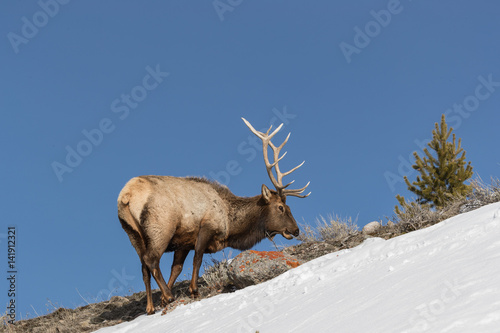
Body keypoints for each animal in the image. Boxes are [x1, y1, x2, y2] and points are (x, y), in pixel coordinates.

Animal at [118, 117, 310, 314]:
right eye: (281, 207)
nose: (296, 230)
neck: (230, 225)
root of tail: (127, 195)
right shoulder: (207, 226)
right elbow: (198, 257)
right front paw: (192, 291)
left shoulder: (184, 241)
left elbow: (176, 268)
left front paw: (163, 300)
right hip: (161, 227)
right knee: (151, 260)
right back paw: (168, 296)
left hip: (133, 234)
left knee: (144, 267)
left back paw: (150, 307)